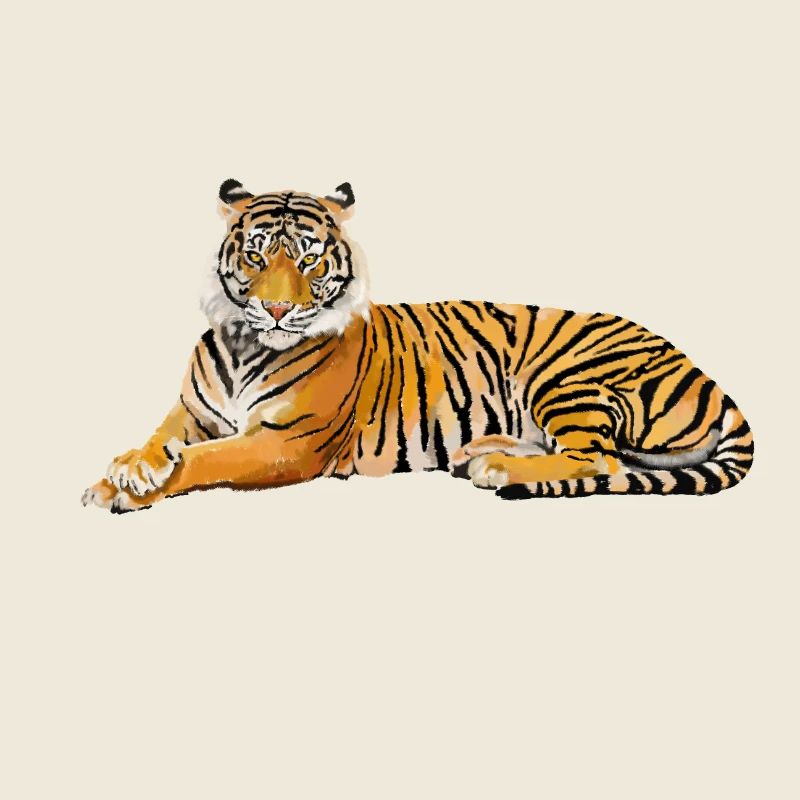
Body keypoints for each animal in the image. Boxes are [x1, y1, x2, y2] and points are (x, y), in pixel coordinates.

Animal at [82, 179, 754, 512]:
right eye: (255, 255)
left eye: (308, 258)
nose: (276, 309)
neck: (247, 343)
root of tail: (704, 372)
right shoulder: (191, 411)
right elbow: (161, 440)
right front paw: (124, 470)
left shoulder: (287, 444)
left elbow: (205, 460)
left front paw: (130, 489)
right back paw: (483, 451)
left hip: (567, 377)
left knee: (600, 460)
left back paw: (495, 467)